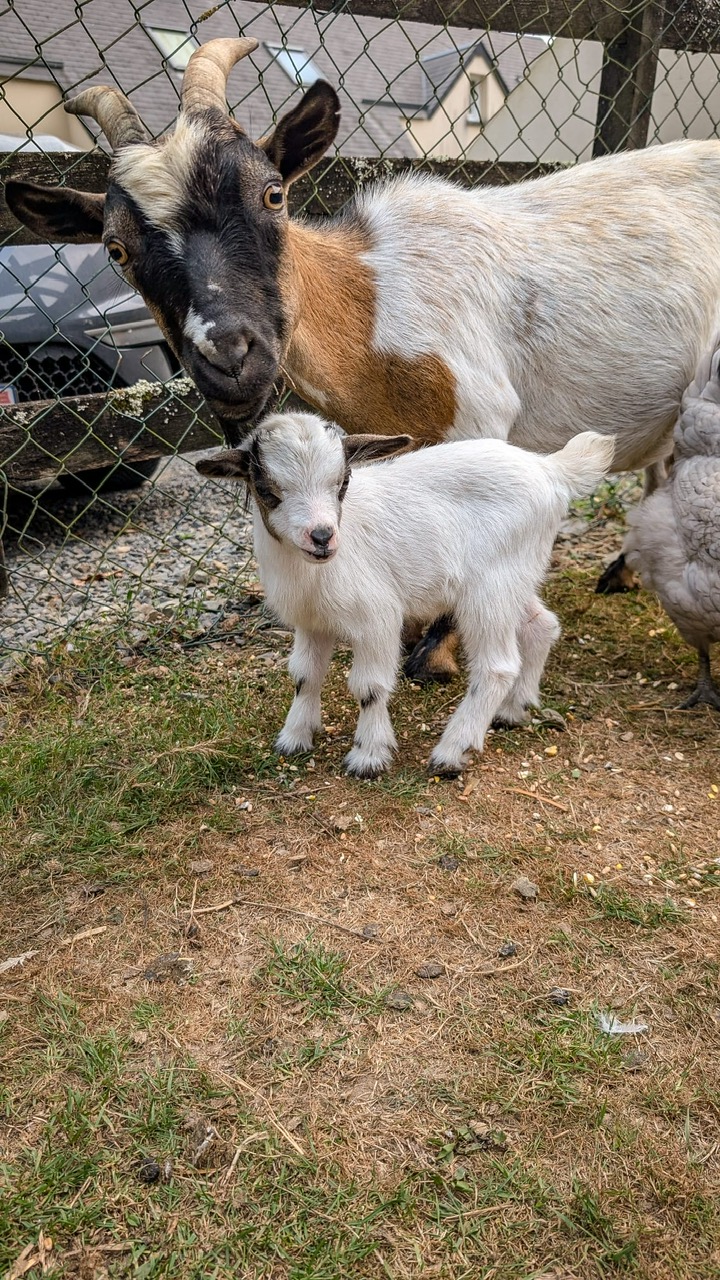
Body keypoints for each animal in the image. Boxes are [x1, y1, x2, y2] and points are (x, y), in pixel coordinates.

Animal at [8, 37, 720, 672]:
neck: (368, 308)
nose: (229, 355)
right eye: (116, 248)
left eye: (273, 193)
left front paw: (437, 653)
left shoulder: (479, 415)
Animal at [197, 412, 615, 778]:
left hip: (491, 588)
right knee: (541, 625)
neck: (312, 571)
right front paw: (294, 737)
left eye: (342, 482)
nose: (322, 536)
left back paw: (453, 750)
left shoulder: (377, 616)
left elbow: (368, 687)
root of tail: (550, 469)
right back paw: (513, 709)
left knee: (497, 665)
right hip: (514, 577)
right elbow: (304, 675)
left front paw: (369, 755)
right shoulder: (312, 622)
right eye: (266, 490)